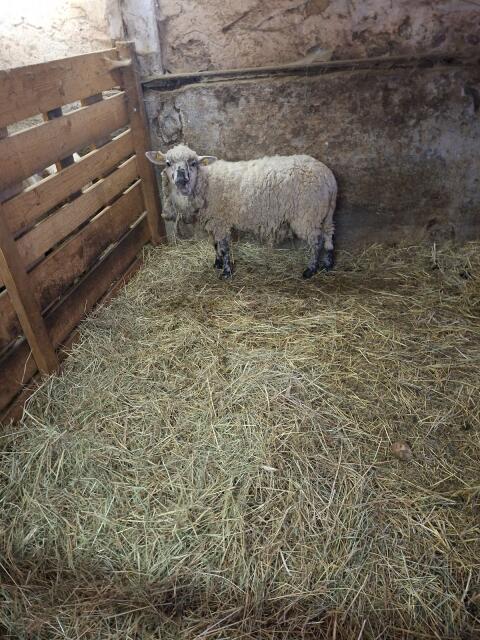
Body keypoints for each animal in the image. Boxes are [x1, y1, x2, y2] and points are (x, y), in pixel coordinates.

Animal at [146, 144, 337, 279]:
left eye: (193, 163)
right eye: (168, 163)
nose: (181, 179)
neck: (205, 182)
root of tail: (329, 179)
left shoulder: (220, 221)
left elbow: (223, 247)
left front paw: (226, 272)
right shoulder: (213, 221)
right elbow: (215, 244)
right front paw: (217, 263)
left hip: (307, 215)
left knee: (317, 241)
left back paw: (310, 270)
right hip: (324, 214)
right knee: (328, 236)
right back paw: (327, 264)